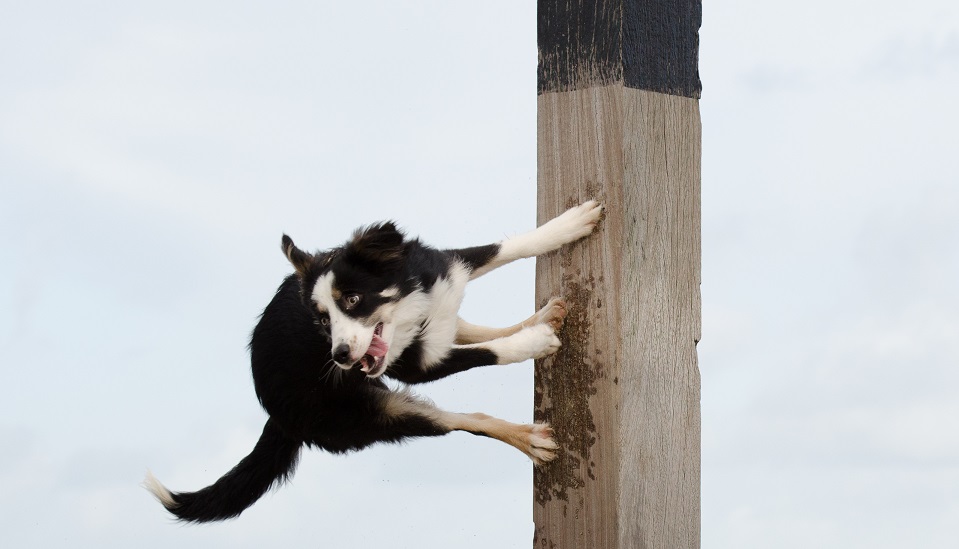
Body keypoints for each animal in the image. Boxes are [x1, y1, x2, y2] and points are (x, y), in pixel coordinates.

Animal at [144, 199, 600, 520]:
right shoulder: (421, 367)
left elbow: (503, 248)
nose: (341, 357)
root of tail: (276, 414)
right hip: (373, 414)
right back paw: (528, 436)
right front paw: (535, 343)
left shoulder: (442, 271)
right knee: (465, 418)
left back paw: (541, 316)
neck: (406, 314)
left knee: (468, 331)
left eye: (352, 299)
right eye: (322, 320)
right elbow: (487, 352)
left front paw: (569, 224)